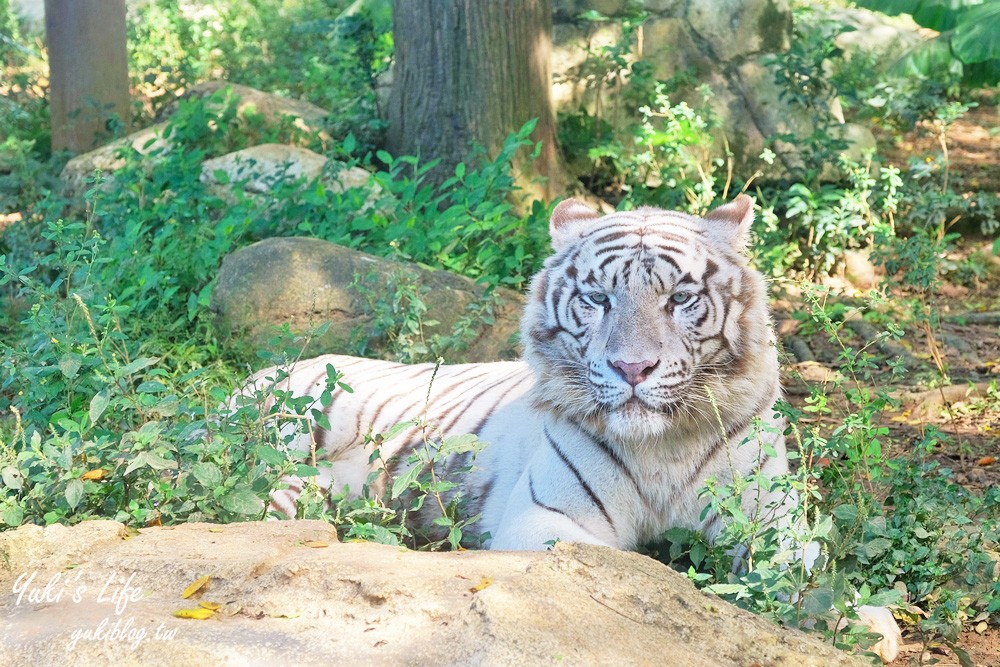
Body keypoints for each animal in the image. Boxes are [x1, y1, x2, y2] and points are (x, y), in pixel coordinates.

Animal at [240, 194, 900, 664]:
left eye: (681, 299)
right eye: (597, 298)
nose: (632, 367)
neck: (665, 443)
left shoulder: (770, 518)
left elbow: (805, 571)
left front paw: (862, 621)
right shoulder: (545, 517)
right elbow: (632, 573)